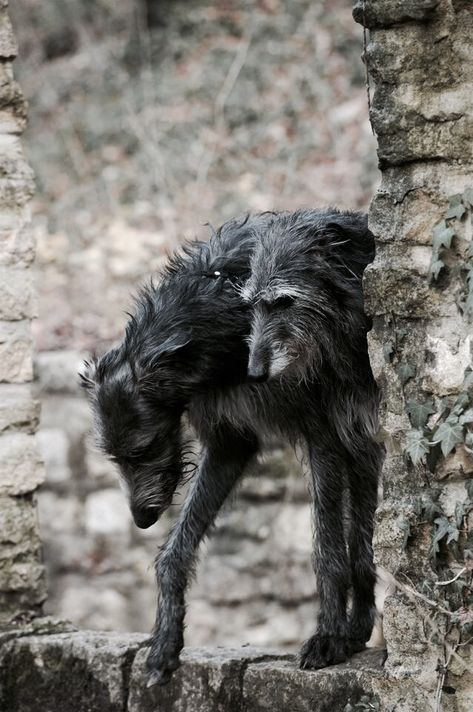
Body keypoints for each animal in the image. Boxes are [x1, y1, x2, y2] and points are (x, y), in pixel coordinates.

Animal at [81, 210, 382, 684]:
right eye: (113, 456)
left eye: (143, 448)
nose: (142, 519)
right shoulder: (228, 443)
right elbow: (174, 552)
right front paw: (165, 642)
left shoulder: (323, 434)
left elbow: (328, 549)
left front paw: (327, 638)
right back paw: (358, 629)